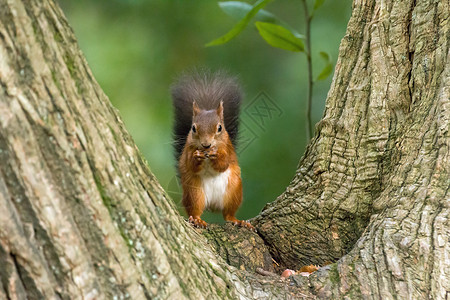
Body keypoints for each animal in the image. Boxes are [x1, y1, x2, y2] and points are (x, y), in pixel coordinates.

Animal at [171, 69, 253, 230]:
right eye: (193, 128)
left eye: (220, 128)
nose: (206, 145)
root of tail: (212, 205)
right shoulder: (188, 149)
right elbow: (190, 164)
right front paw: (196, 157)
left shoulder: (228, 149)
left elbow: (224, 163)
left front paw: (217, 156)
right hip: (194, 192)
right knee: (195, 210)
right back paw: (197, 220)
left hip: (234, 191)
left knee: (228, 214)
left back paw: (238, 221)